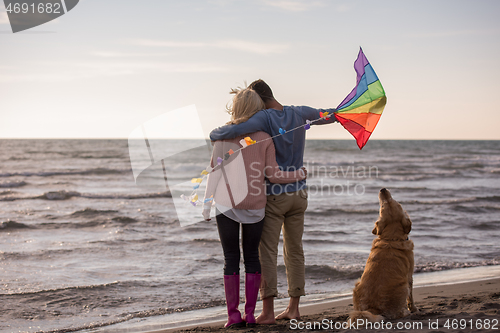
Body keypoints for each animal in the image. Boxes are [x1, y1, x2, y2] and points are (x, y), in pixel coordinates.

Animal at [348, 188, 418, 320]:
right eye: (382, 206)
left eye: (394, 202)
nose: (383, 189)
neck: (391, 238)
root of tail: (374, 309)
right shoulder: (409, 275)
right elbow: (411, 298)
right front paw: (414, 309)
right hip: (403, 286)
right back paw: (407, 312)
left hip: (357, 284)